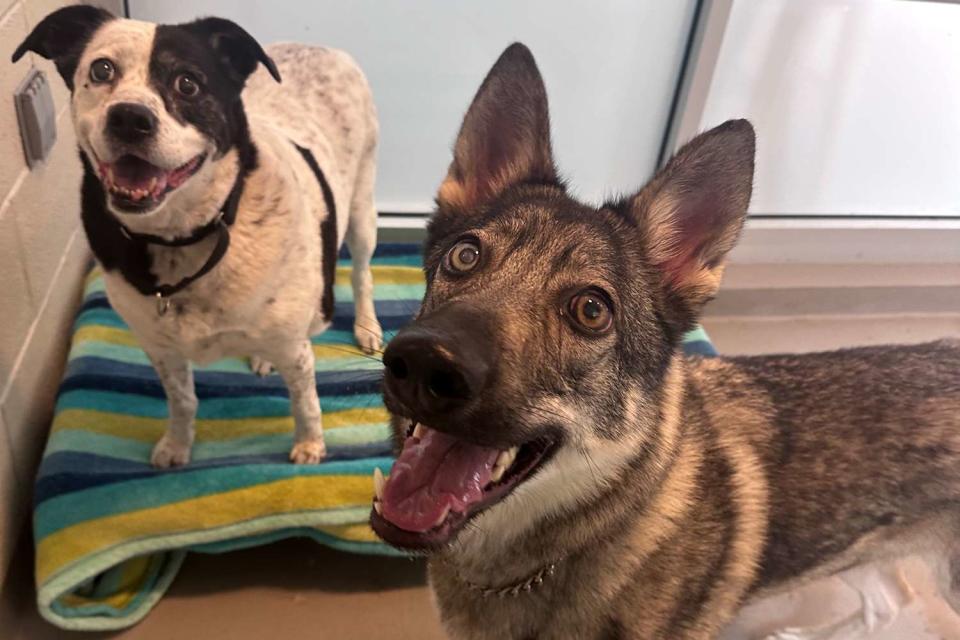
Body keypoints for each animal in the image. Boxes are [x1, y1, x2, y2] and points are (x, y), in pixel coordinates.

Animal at [13, 3, 382, 464]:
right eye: (101, 70)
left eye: (187, 83)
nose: (129, 118)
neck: (181, 238)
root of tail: (315, 45)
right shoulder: (162, 351)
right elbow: (182, 401)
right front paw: (177, 445)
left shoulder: (293, 348)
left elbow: (305, 401)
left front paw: (309, 445)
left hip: (362, 211)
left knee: (362, 274)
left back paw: (367, 327)